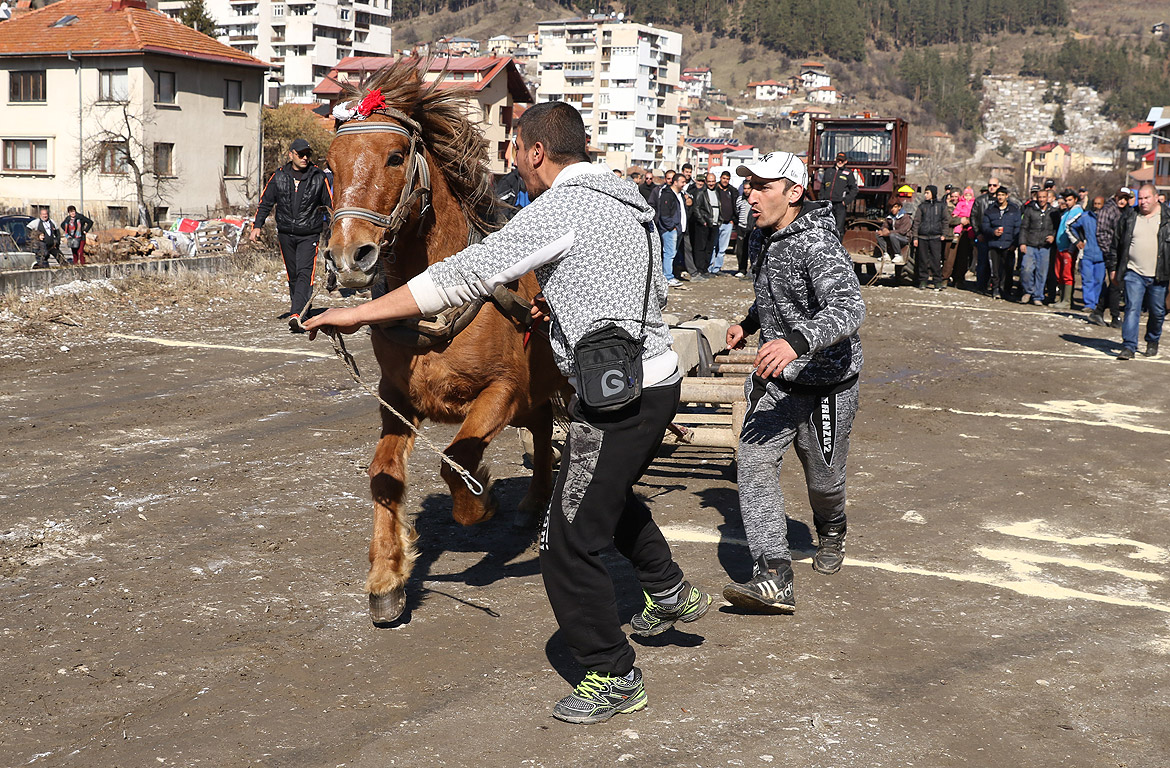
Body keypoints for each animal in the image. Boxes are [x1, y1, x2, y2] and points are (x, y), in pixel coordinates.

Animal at [322, 59, 563, 622]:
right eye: (331, 166)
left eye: (394, 157)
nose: (348, 257)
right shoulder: (397, 399)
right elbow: (384, 475)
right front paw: (387, 577)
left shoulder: (502, 392)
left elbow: (456, 463)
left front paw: (481, 501)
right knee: (543, 429)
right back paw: (533, 502)